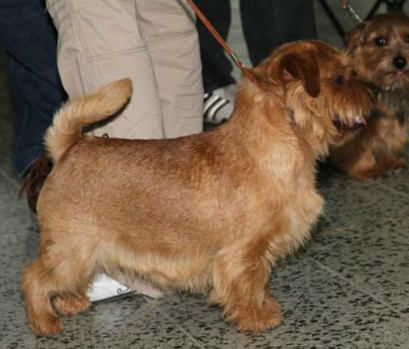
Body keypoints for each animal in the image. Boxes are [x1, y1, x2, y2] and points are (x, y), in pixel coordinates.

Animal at [21, 40, 372, 334]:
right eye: (340, 79)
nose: (373, 93)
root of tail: (70, 147)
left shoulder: (259, 249)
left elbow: (259, 281)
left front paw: (264, 307)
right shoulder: (242, 250)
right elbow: (248, 283)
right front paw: (256, 318)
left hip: (79, 253)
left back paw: (71, 302)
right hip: (72, 248)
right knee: (34, 278)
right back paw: (44, 322)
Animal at [332, 12, 408, 179]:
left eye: (408, 39)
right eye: (380, 41)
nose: (400, 61)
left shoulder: (390, 120)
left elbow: (388, 139)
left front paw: (389, 161)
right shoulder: (361, 126)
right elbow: (364, 147)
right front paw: (366, 169)